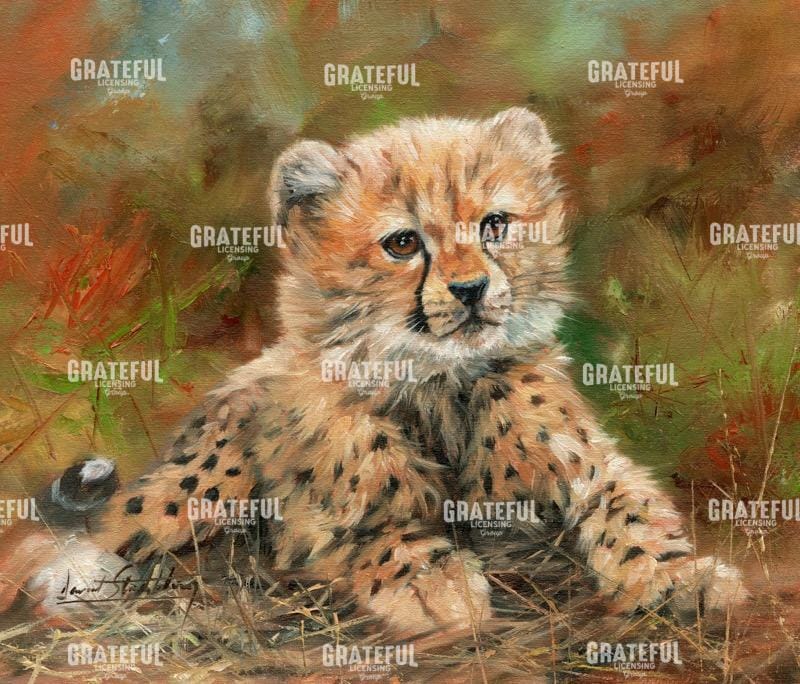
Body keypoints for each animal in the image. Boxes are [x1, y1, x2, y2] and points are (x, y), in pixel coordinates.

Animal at [0, 107, 745, 638]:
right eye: (403, 243)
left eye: (495, 224)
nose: (472, 290)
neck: (439, 380)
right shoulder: (314, 523)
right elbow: (382, 534)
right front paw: (434, 586)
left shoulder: (593, 470)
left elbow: (631, 511)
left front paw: (687, 577)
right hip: (204, 481)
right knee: (99, 533)